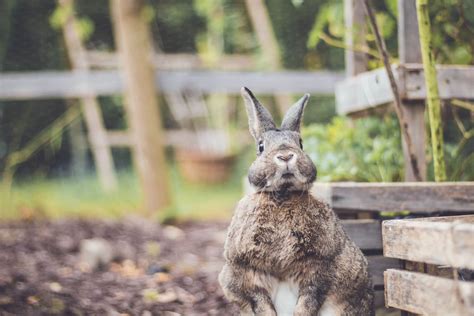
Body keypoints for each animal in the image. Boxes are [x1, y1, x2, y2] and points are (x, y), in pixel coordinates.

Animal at [218, 87, 374, 316]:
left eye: (300, 143)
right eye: (261, 146)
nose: (285, 156)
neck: (282, 196)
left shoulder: (318, 269)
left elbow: (308, 301)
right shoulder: (246, 273)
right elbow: (261, 303)